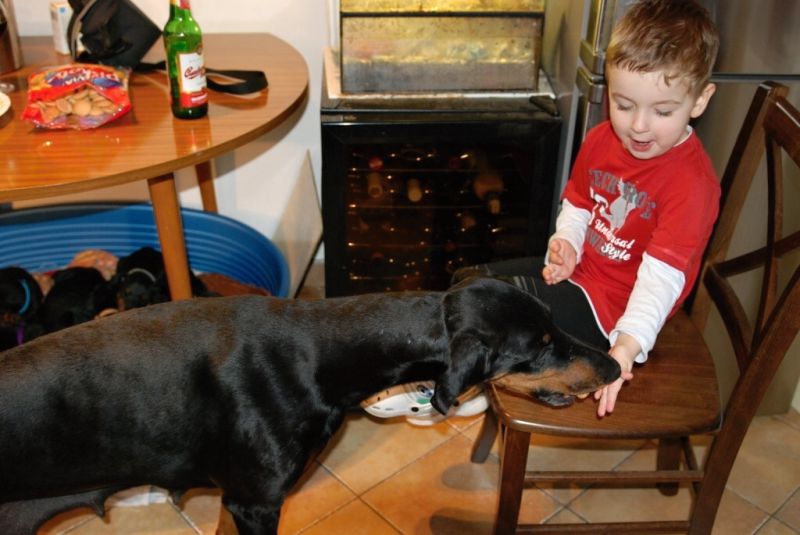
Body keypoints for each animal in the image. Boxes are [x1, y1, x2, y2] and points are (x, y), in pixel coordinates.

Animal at [0, 277, 620, 534]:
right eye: (541, 347)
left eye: (554, 324)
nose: (615, 366)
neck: (321, 354)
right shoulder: (255, 503)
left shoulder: (235, 501)